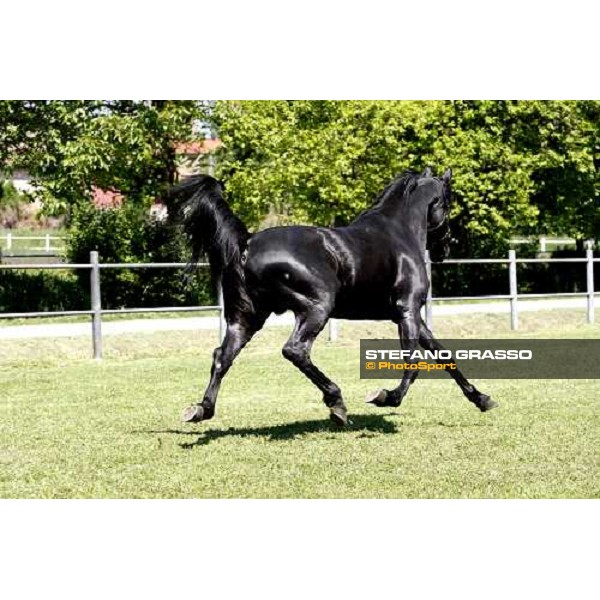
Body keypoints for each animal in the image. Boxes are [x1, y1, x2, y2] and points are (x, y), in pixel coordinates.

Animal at [166, 166, 494, 424]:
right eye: (448, 204)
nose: (444, 250)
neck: (399, 233)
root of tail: (247, 244)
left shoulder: (409, 315)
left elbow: (443, 355)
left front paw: (482, 399)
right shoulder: (407, 311)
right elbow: (412, 363)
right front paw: (386, 396)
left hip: (246, 319)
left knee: (222, 357)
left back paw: (201, 410)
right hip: (316, 308)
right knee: (295, 350)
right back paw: (337, 403)